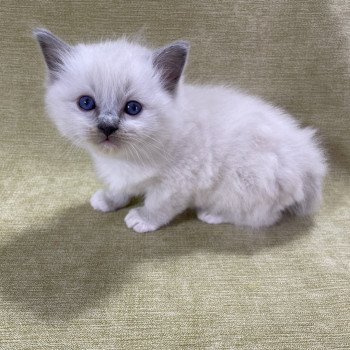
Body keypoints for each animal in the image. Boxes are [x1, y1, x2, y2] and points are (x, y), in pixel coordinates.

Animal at [34, 28, 326, 232]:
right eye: (86, 103)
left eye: (132, 108)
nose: (107, 126)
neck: (129, 157)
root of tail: (309, 160)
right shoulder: (124, 175)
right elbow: (120, 187)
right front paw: (108, 200)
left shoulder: (178, 182)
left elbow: (158, 204)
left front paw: (142, 219)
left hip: (243, 181)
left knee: (261, 217)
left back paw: (212, 214)